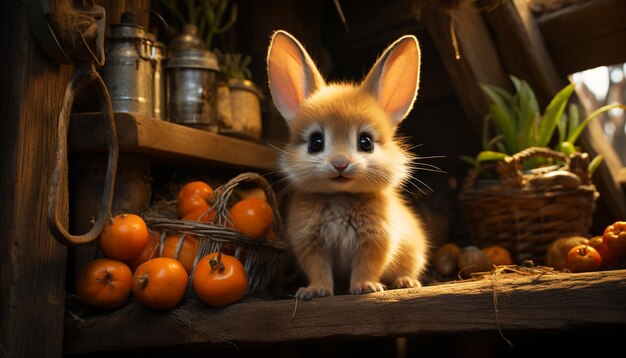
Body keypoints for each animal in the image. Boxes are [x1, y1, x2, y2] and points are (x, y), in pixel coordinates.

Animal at [264, 30, 428, 300]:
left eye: (366, 142)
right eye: (315, 142)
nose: (340, 164)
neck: (341, 196)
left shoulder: (375, 243)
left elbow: (366, 266)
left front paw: (365, 287)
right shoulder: (311, 245)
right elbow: (318, 270)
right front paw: (315, 291)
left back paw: (406, 282)